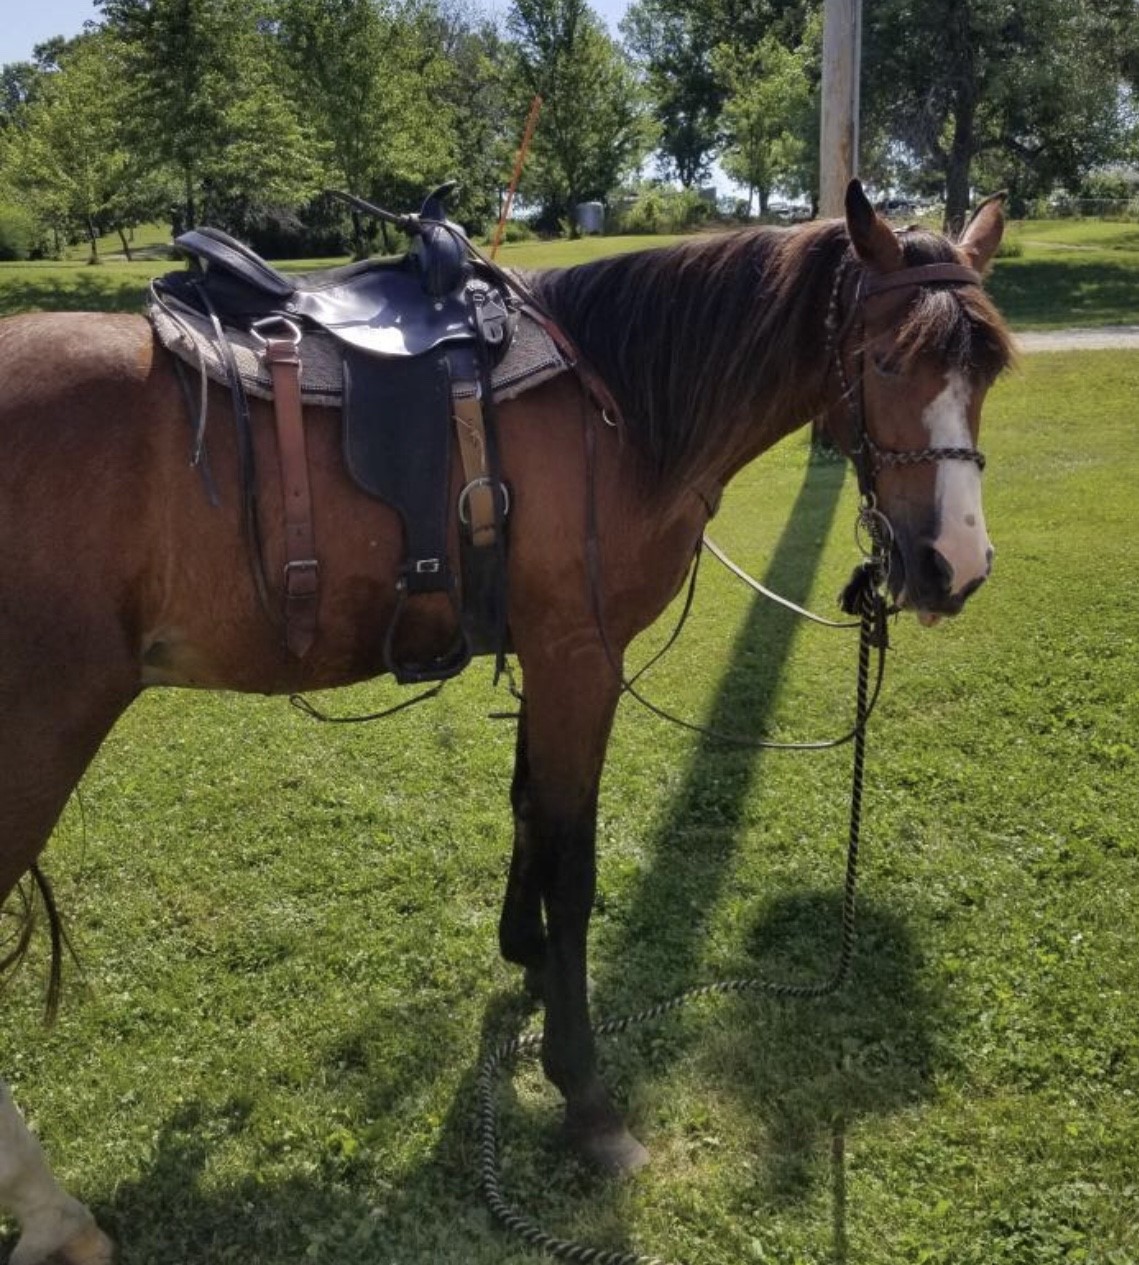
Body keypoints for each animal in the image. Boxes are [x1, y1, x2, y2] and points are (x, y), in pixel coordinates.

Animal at [0, 182, 1011, 1265]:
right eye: (885, 360)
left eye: (988, 366)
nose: (953, 565)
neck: (615, 404)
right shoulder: (580, 656)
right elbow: (572, 863)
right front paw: (585, 1095)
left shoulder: (543, 654)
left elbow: (526, 805)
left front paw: (522, 954)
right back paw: (53, 1212)